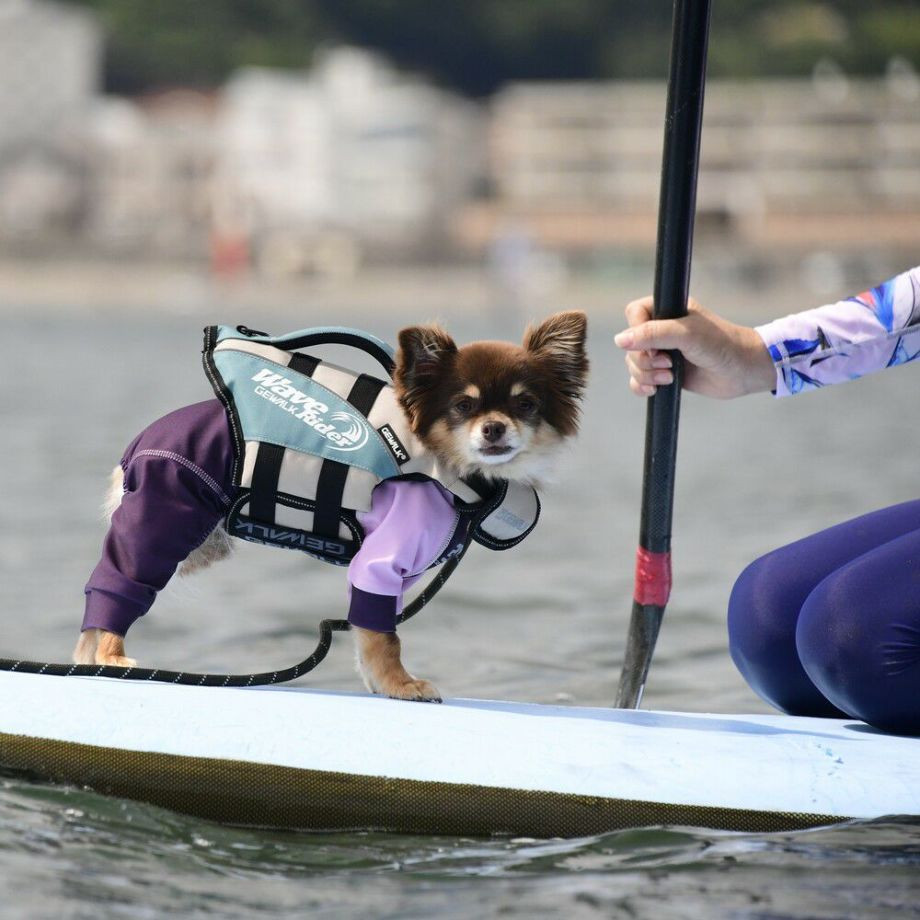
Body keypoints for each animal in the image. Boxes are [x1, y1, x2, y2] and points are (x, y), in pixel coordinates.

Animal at [73, 312, 588, 700]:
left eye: (526, 405)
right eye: (463, 406)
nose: (494, 428)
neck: (459, 478)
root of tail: (140, 442)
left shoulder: (392, 580)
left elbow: (369, 629)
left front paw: (382, 685)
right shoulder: (380, 561)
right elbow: (387, 637)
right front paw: (402, 685)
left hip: (203, 541)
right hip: (165, 523)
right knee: (117, 585)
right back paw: (111, 655)